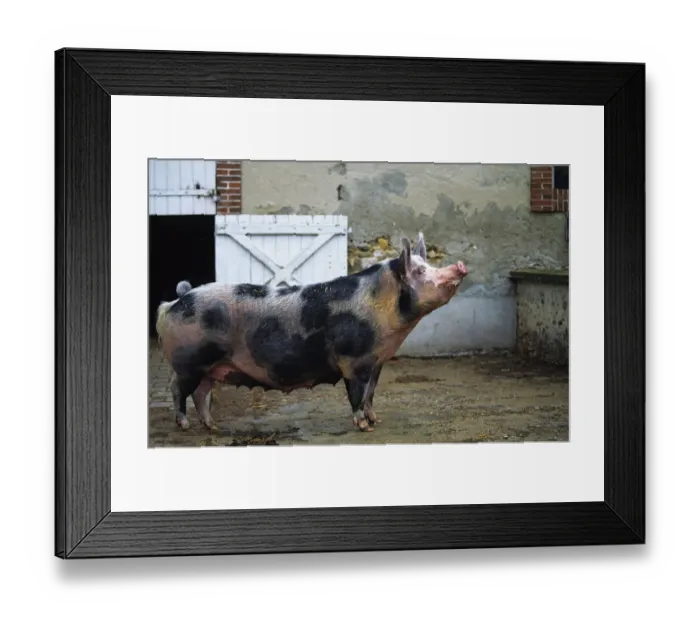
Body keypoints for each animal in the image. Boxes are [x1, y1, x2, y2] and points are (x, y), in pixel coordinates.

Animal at [155, 232, 468, 432]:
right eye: (420, 272)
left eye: (429, 265)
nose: (460, 266)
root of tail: (175, 303)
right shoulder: (354, 361)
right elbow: (357, 394)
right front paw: (364, 427)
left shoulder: (377, 362)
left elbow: (371, 394)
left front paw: (376, 420)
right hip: (188, 361)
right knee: (177, 389)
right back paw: (184, 426)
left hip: (210, 367)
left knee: (201, 394)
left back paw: (213, 427)